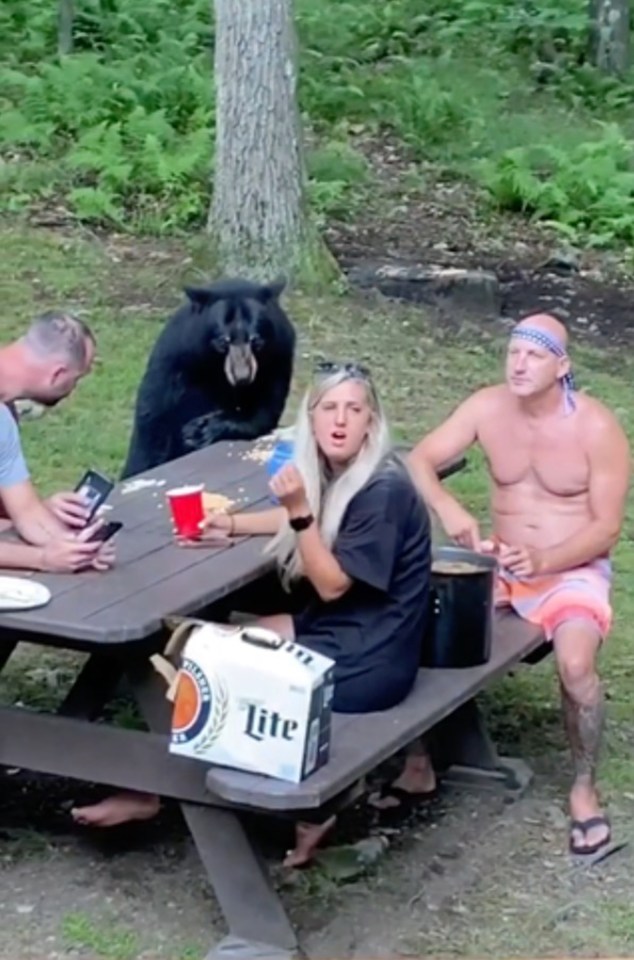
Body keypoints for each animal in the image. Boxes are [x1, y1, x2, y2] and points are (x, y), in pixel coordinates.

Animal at [119, 276, 296, 478]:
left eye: (256, 340)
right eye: (222, 341)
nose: (242, 377)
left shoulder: (279, 354)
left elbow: (265, 409)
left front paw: (205, 429)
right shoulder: (176, 355)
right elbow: (155, 415)